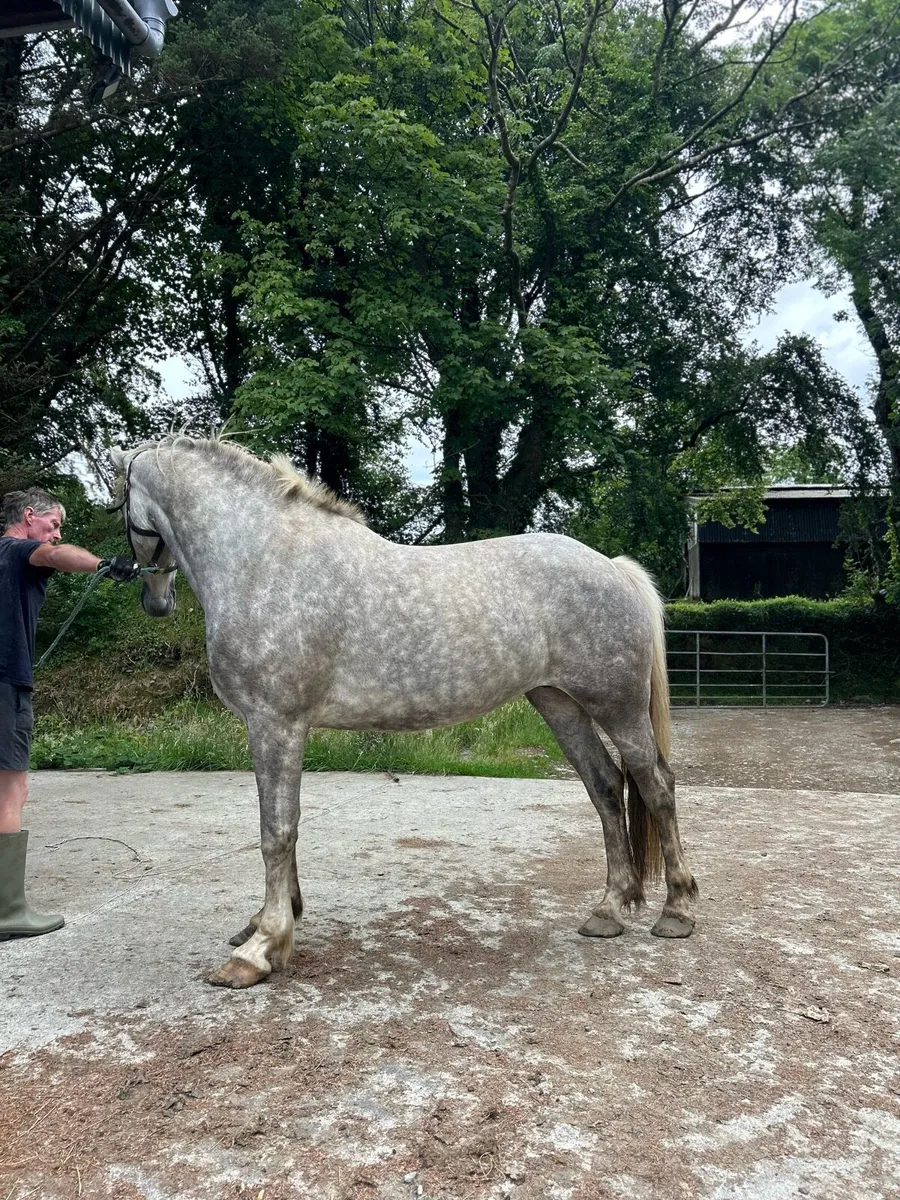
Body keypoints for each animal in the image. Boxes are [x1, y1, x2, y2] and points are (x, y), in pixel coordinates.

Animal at [110, 434, 697, 989]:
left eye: (120, 505)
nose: (155, 600)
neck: (266, 558)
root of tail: (614, 568)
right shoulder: (278, 728)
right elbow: (282, 825)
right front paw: (269, 921)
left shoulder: (274, 723)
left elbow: (275, 830)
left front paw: (259, 949)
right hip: (559, 704)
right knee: (605, 788)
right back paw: (609, 910)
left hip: (618, 708)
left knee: (655, 786)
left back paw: (676, 911)